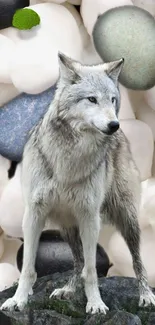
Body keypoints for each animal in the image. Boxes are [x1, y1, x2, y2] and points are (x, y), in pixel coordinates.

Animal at [1, 53, 155, 314]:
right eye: (92, 99)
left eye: (112, 100)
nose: (114, 125)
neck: (69, 159)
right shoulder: (33, 214)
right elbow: (28, 268)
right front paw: (18, 300)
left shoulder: (89, 216)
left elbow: (92, 270)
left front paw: (96, 303)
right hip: (67, 227)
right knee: (77, 260)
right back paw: (68, 290)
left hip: (126, 219)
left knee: (136, 260)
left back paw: (145, 295)